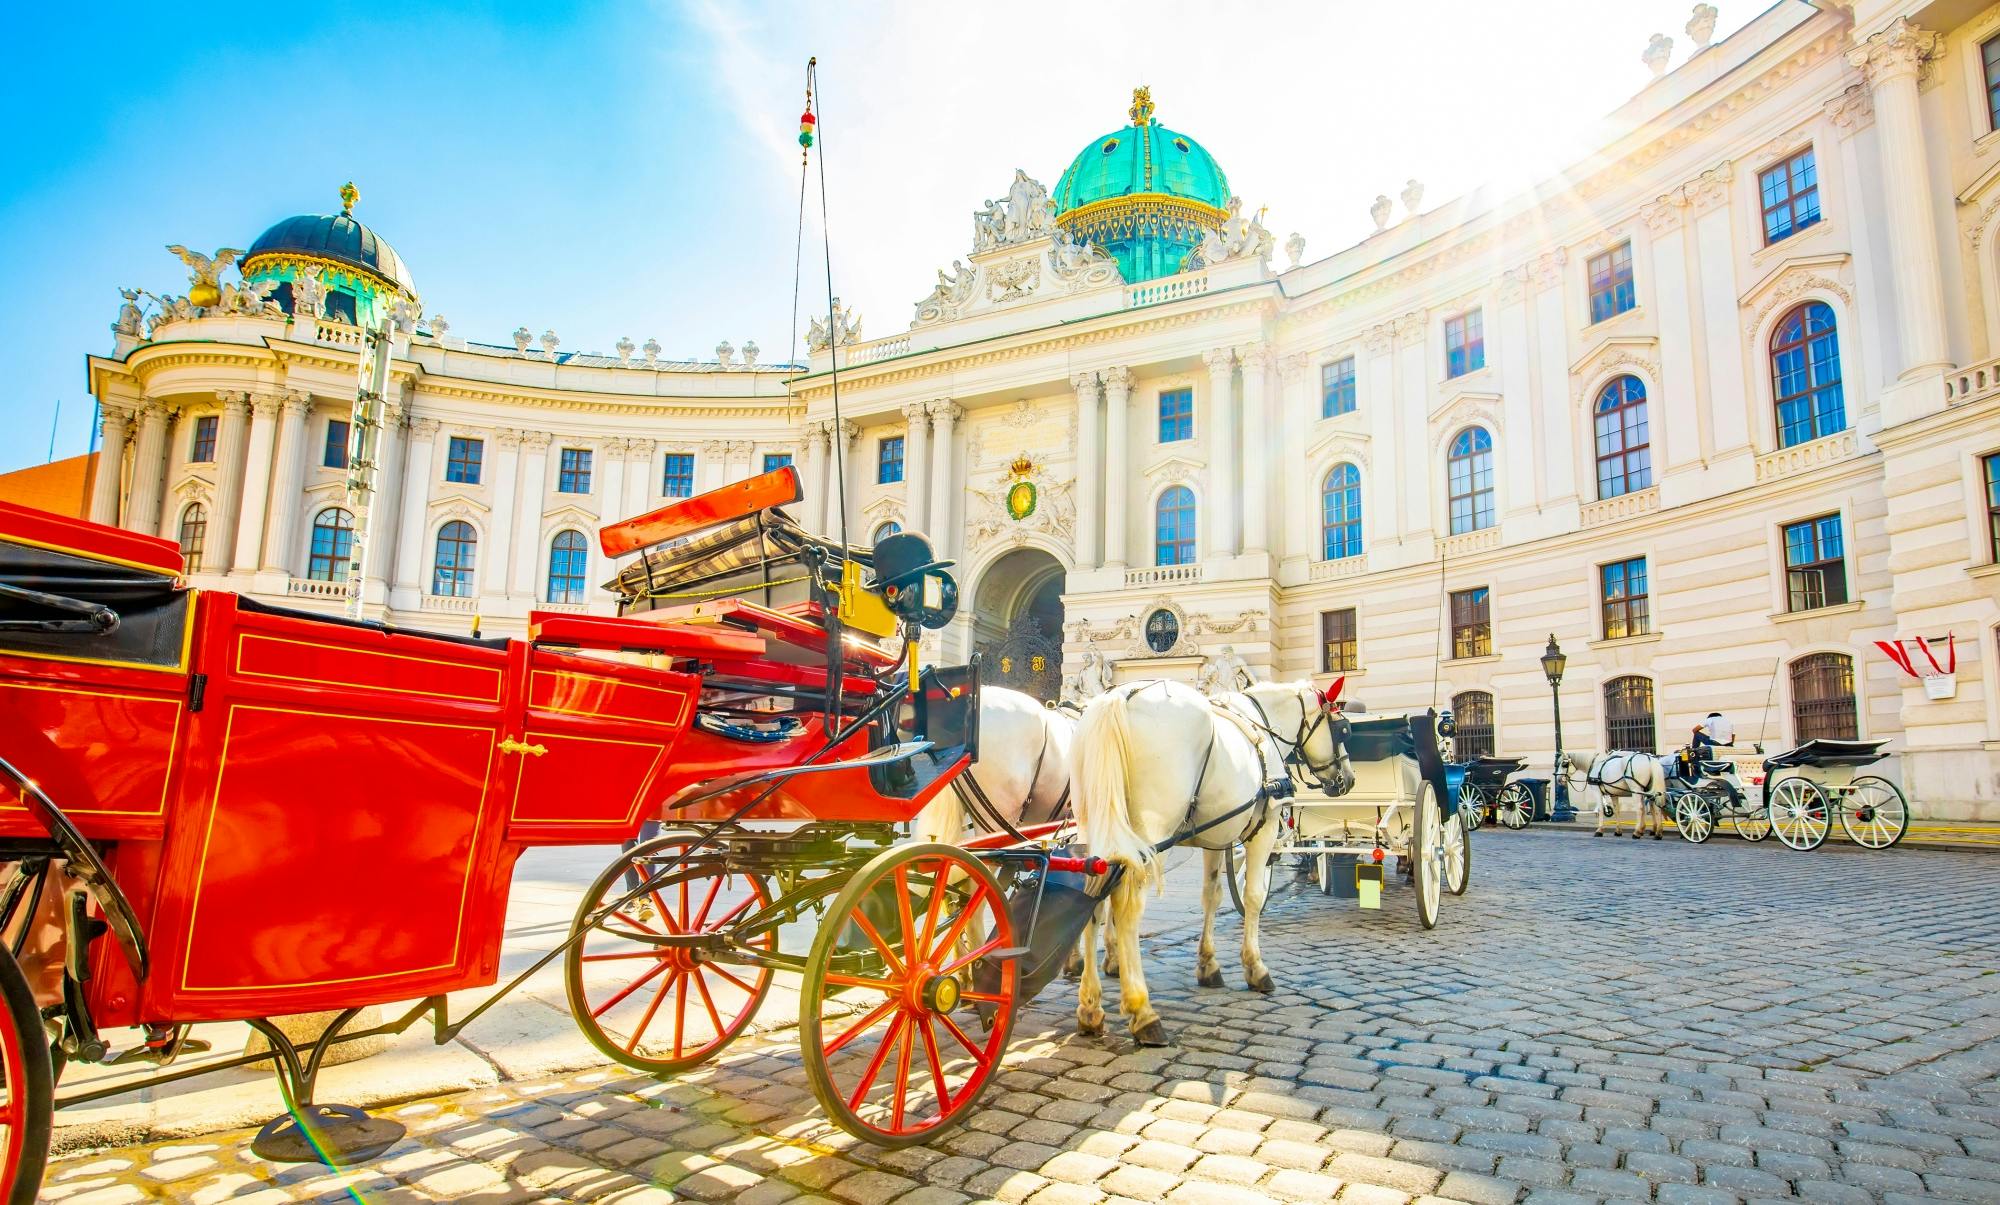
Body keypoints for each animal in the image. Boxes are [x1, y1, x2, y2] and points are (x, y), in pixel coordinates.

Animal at [1080, 676, 1344, 1040]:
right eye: (1342, 728)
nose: (1346, 779)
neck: (1262, 723)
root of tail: (1120, 696)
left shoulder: (1215, 840)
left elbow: (1211, 896)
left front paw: (1208, 964)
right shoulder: (1264, 828)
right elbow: (1253, 896)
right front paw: (1255, 967)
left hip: (1095, 834)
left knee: (1092, 897)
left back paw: (1090, 1008)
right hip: (1149, 837)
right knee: (1127, 906)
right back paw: (1142, 1010)